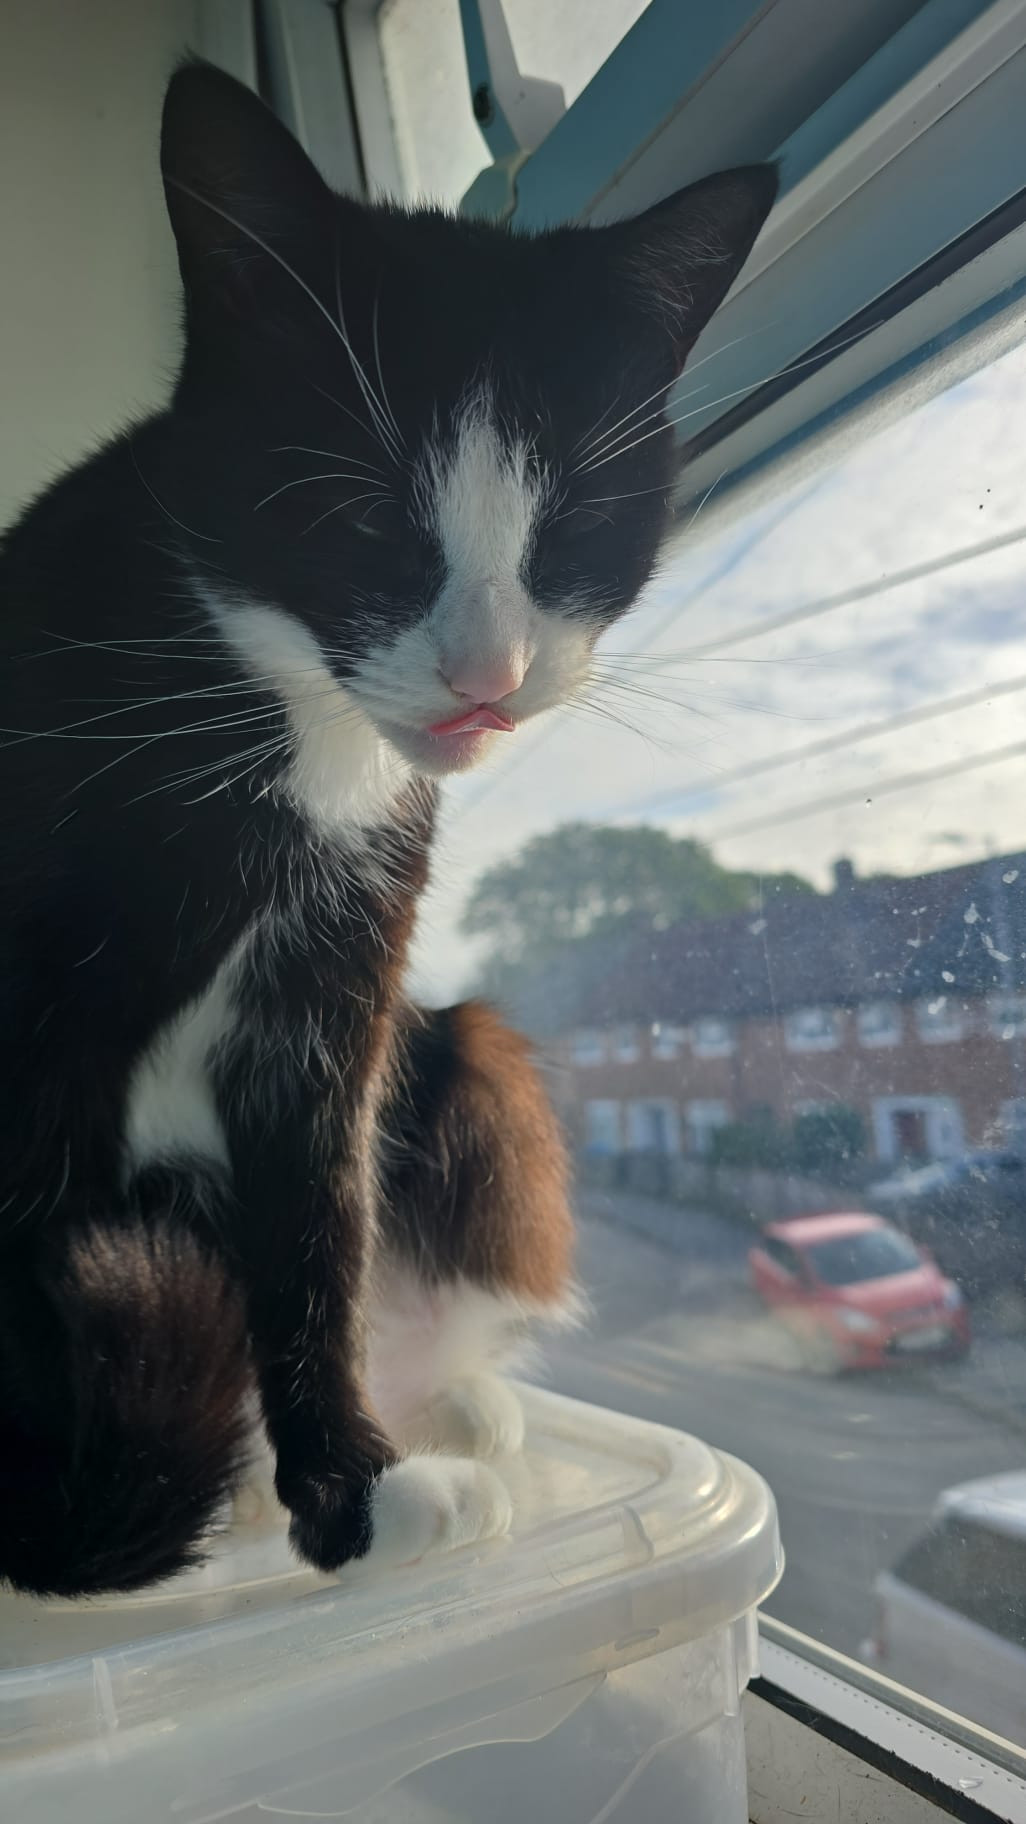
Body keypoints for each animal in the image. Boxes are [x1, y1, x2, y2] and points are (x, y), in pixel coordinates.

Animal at [0, 60, 770, 1597]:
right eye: (356, 511)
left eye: (571, 526)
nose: (488, 674)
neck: (288, 737)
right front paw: (80, 1520)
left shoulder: (337, 979)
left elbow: (317, 1226)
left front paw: (353, 1490)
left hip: (459, 1048)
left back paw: (437, 1412)